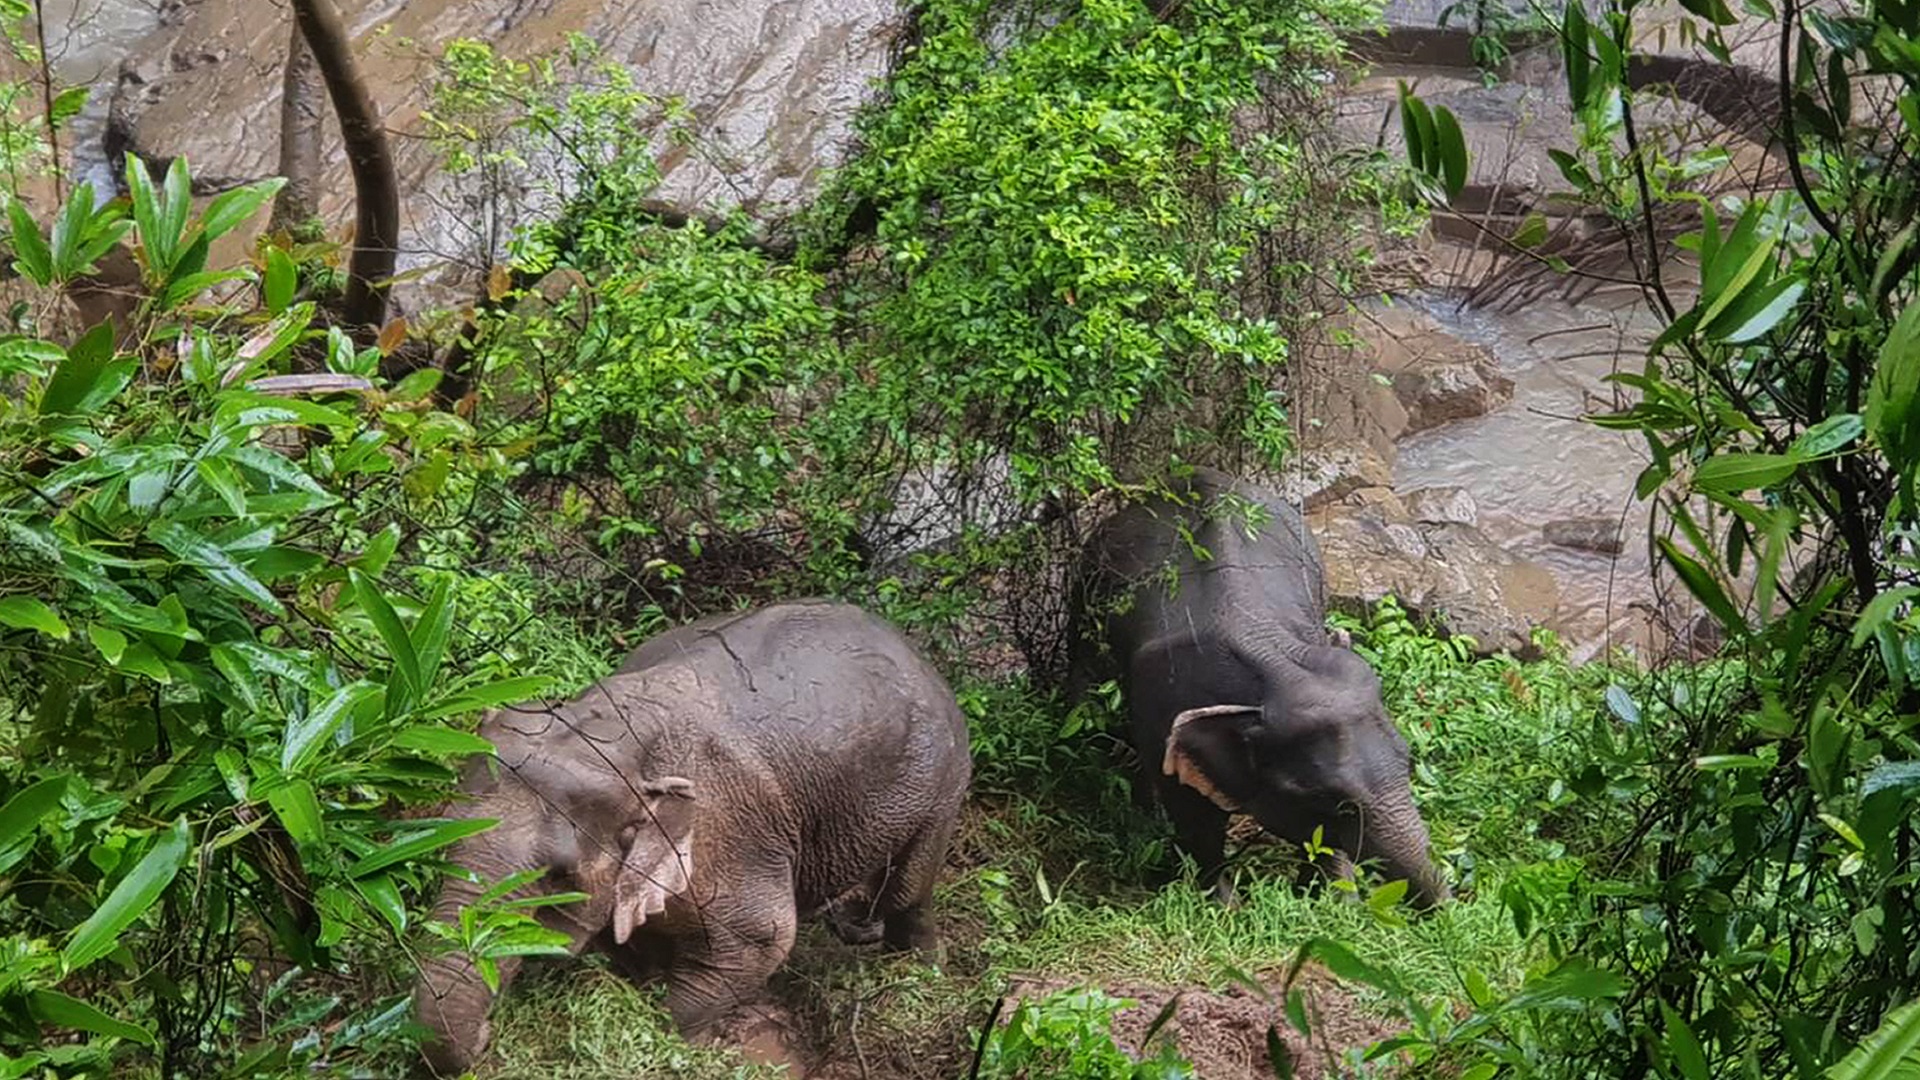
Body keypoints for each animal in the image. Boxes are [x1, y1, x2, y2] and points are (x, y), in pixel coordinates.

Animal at [411, 599, 972, 1076]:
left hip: (943, 780)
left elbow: (763, 939)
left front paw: (682, 1038)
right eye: (442, 843)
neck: (613, 739)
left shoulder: (730, 837)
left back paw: (920, 969)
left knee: (909, 888)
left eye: (557, 877)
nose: (486, 1036)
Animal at [1066, 466, 1449, 909]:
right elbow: (1194, 818)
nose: (1447, 908)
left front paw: (1333, 900)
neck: (1273, 662)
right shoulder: (1161, 705)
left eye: (1408, 762)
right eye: (1335, 801)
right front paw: (1223, 905)